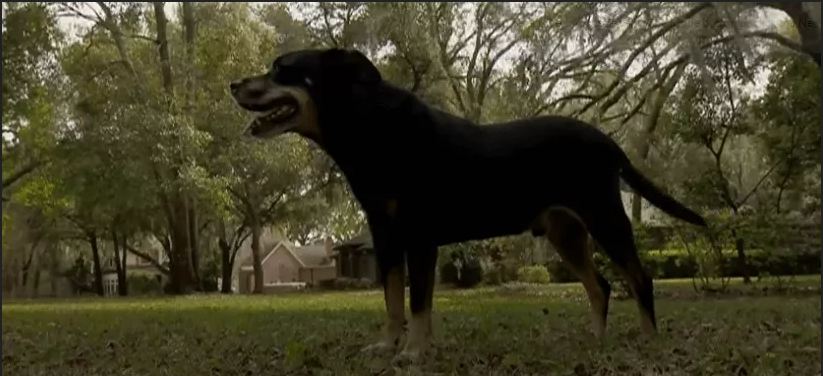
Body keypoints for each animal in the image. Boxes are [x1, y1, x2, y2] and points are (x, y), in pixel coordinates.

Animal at [229, 48, 704, 362]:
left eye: (281, 69)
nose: (234, 84)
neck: (372, 129)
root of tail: (609, 143)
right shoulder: (386, 238)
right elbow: (392, 299)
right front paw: (388, 345)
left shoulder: (419, 237)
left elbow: (418, 302)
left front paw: (413, 352)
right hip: (565, 232)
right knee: (600, 286)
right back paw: (596, 340)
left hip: (605, 217)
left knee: (640, 279)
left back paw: (649, 341)